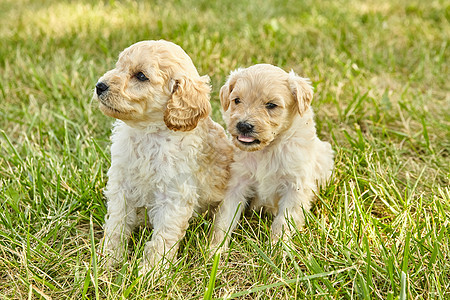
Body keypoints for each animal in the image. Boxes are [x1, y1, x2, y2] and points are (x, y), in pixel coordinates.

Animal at [95, 40, 236, 274]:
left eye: (141, 76)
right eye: (118, 66)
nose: (99, 86)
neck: (148, 133)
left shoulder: (174, 196)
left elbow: (163, 238)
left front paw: (149, 273)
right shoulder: (121, 185)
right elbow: (116, 224)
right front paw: (108, 260)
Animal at [211, 63, 334, 251]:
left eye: (271, 105)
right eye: (237, 100)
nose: (243, 126)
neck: (267, 150)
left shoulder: (295, 186)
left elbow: (284, 221)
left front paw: (278, 250)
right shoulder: (237, 181)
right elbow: (225, 217)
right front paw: (215, 250)